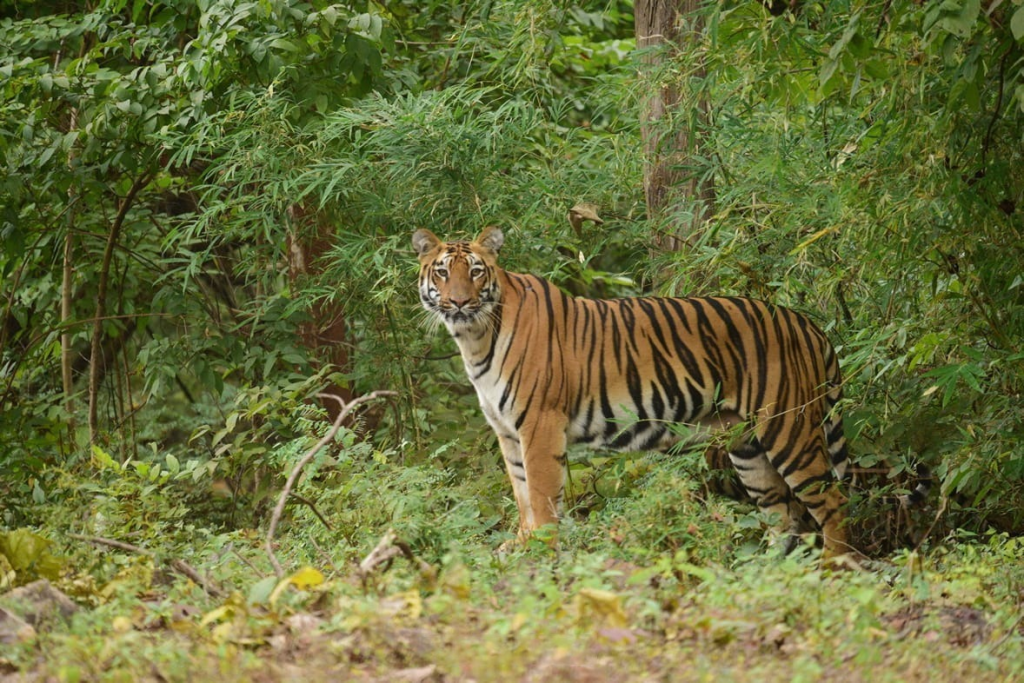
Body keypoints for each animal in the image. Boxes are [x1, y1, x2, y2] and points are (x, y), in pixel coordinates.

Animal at [413, 227, 856, 557]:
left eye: (475, 272)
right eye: (442, 273)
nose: (459, 302)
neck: (475, 338)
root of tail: (807, 324)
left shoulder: (539, 425)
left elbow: (541, 498)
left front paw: (542, 552)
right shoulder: (507, 432)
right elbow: (521, 494)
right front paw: (521, 547)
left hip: (788, 427)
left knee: (832, 503)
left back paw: (834, 568)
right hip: (747, 446)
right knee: (781, 515)